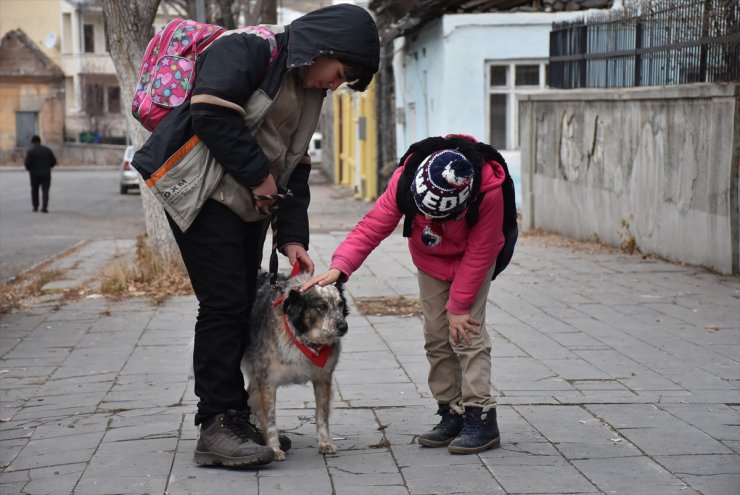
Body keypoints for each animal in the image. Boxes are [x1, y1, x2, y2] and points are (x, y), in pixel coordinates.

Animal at [241, 272, 348, 462]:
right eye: (321, 306)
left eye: (340, 304)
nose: (343, 327)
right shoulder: (267, 383)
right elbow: (270, 420)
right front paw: (274, 448)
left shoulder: (323, 378)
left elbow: (322, 415)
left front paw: (325, 443)